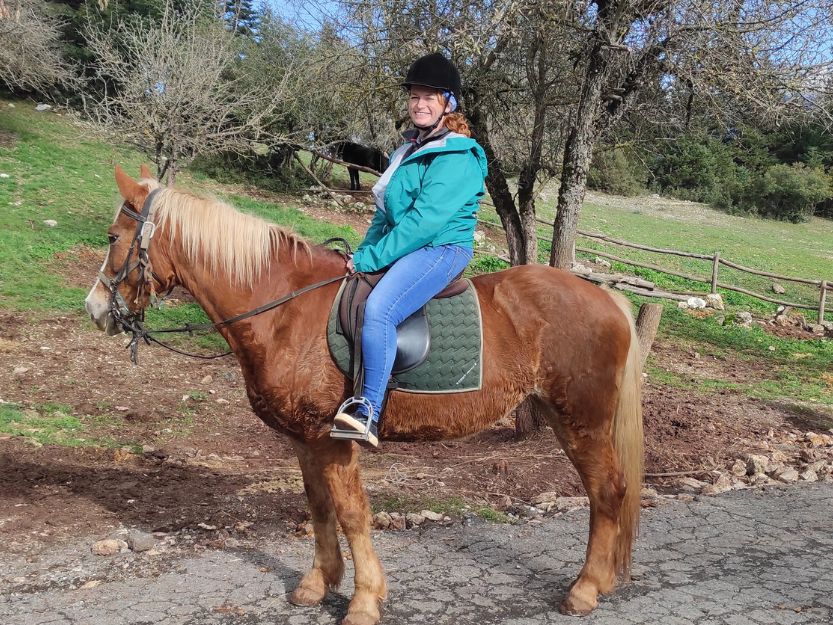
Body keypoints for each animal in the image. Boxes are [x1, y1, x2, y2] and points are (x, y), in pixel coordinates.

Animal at [86, 165, 644, 624]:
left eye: (113, 237)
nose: (95, 309)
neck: (287, 310)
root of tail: (607, 298)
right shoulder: (305, 439)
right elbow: (318, 507)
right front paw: (317, 585)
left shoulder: (334, 441)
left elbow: (353, 514)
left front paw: (363, 601)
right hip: (563, 415)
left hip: (583, 418)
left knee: (607, 491)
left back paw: (584, 590)